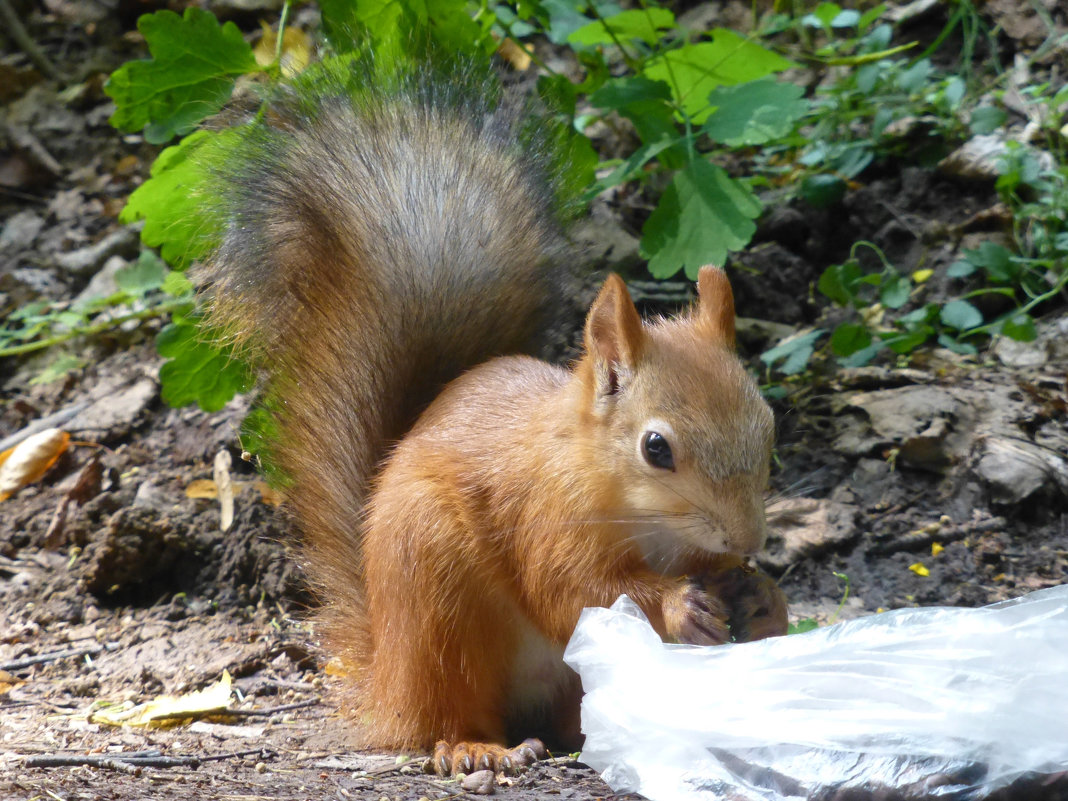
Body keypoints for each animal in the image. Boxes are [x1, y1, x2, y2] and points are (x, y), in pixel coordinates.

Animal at [196, 68, 790, 777]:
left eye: (769, 425)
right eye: (656, 447)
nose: (748, 538)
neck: (645, 518)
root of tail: (387, 682)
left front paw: (763, 598)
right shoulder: (544, 514)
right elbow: (572, 590)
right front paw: (680, 605)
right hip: (437, 596)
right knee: (445, 715)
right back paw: (478, 746)